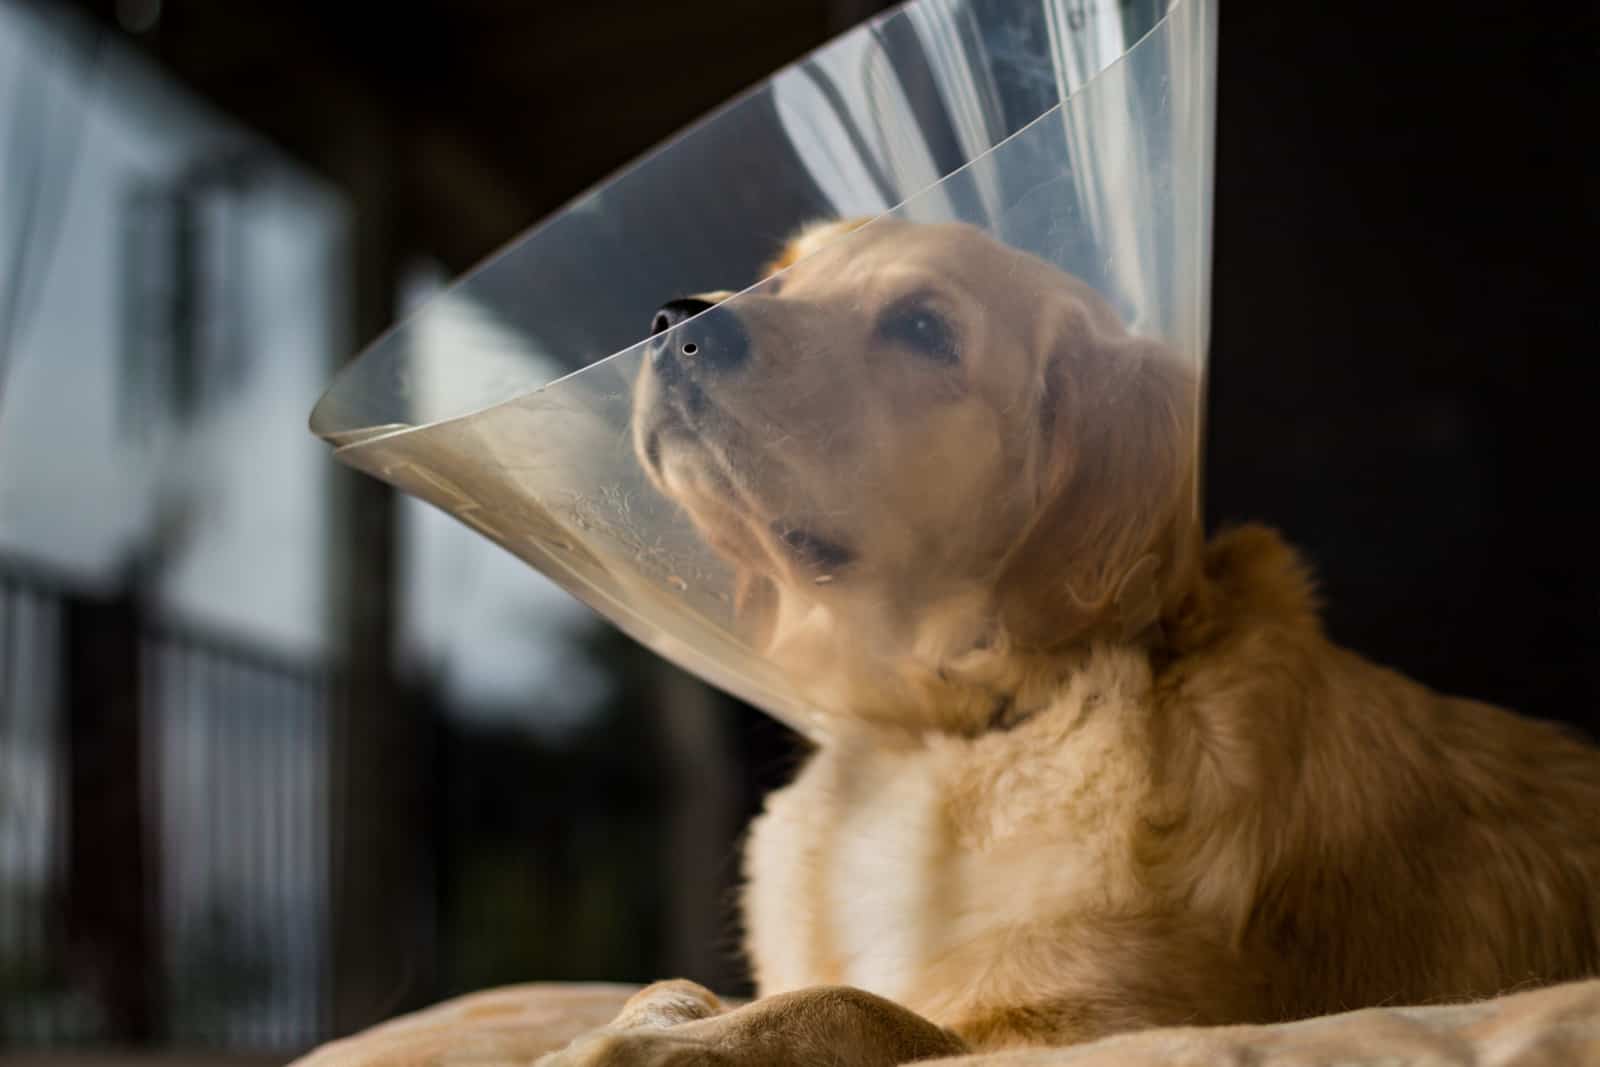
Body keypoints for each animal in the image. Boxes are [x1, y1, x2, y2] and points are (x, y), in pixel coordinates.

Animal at [540, 220, 1600, 1062]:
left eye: (923, 327)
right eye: (781, 273)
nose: (677, 321)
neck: (956, 729)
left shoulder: (1100, 1025)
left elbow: (852, 1006)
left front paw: (649, 1045)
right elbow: (690, 984)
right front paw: (648, 1016)